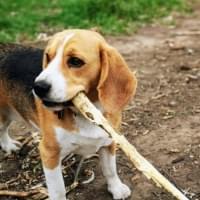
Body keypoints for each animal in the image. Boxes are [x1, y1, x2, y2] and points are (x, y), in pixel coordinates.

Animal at [0, 30, 137, 200]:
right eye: (48, 57)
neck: (86, 113)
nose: (37, 87)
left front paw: (116, 188)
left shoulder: (109, 142)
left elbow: (110, 169)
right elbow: (58, 190)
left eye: (75, 61)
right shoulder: (49, 153)